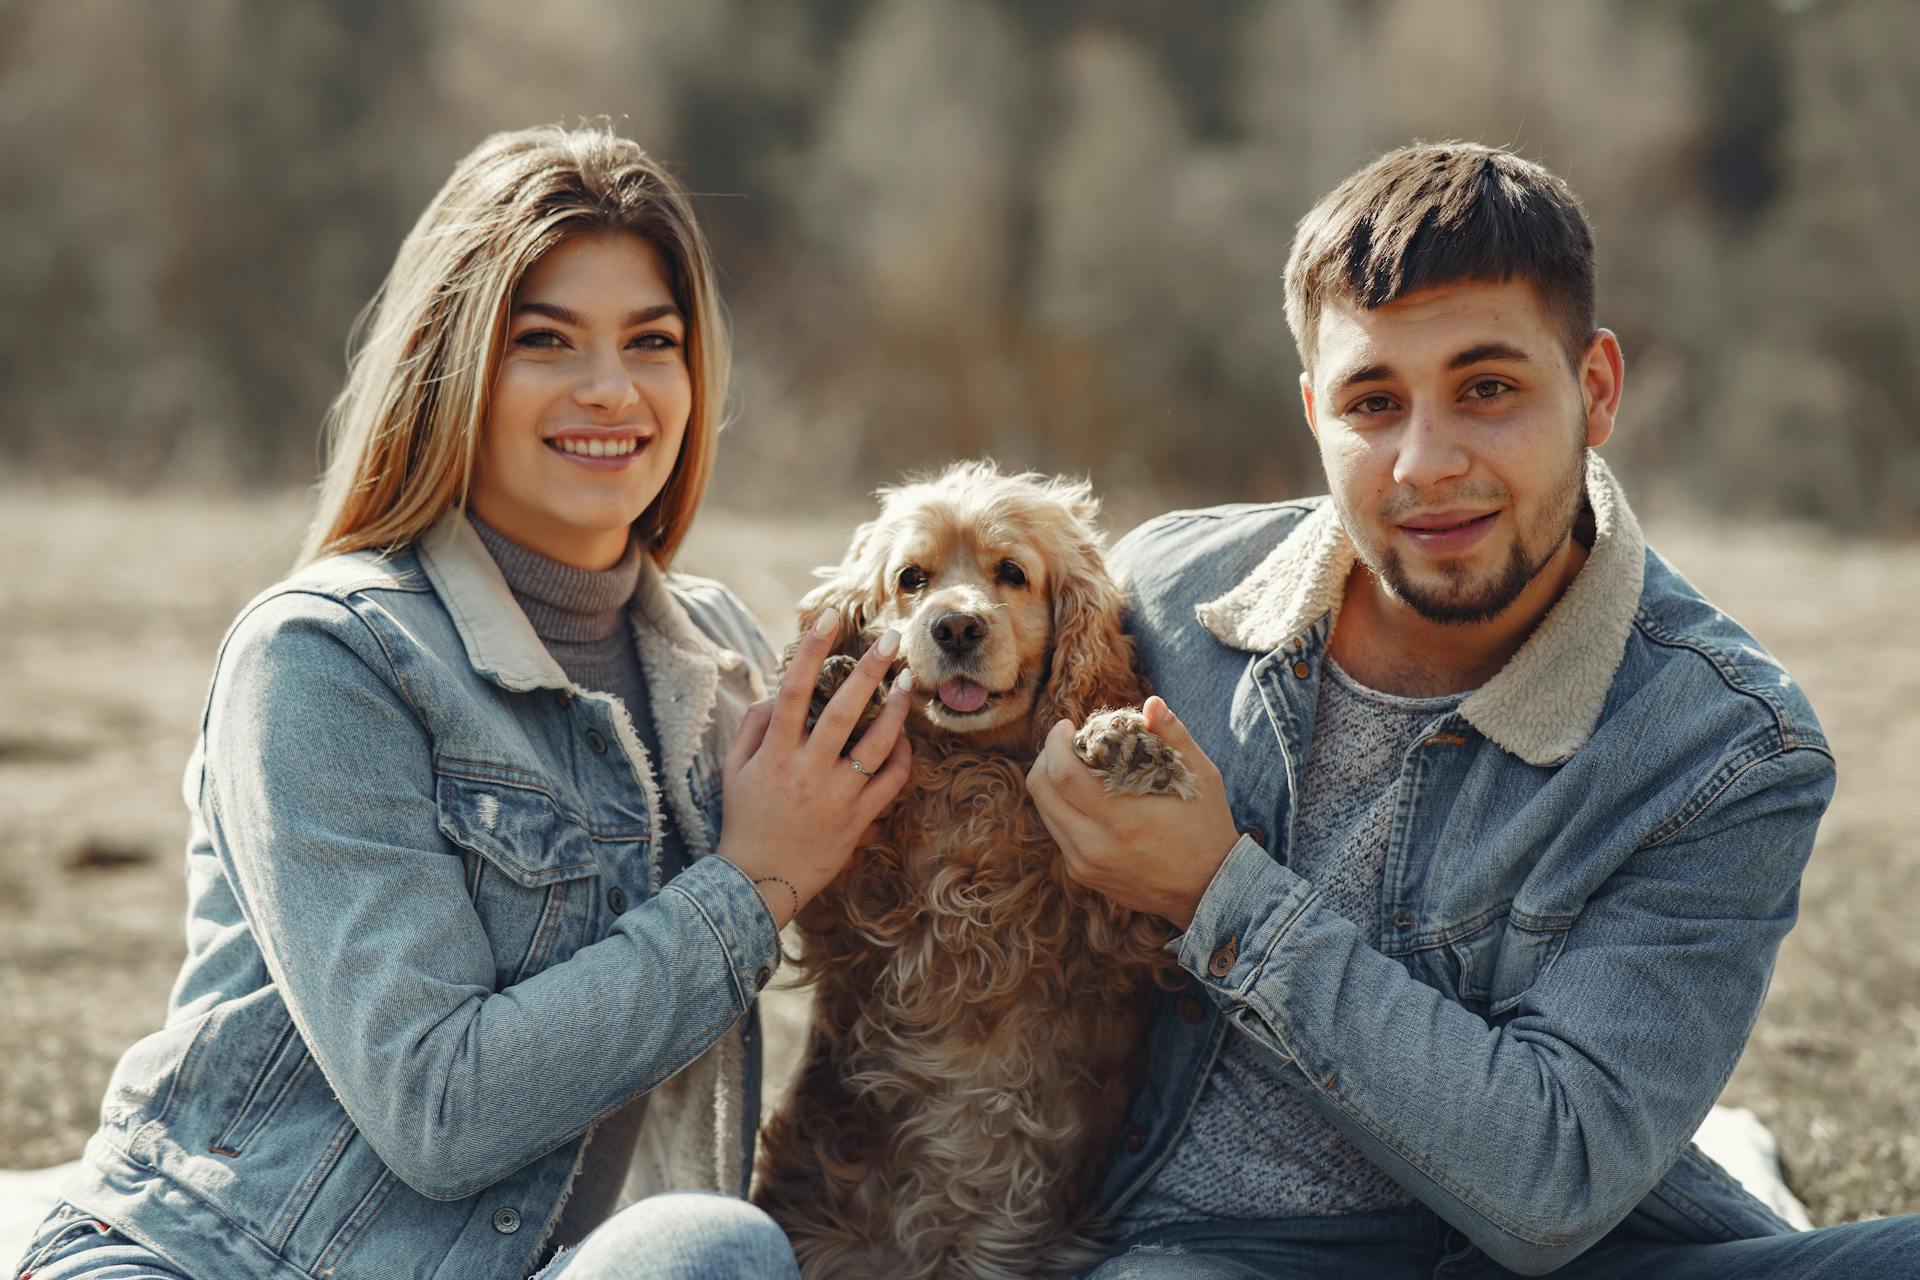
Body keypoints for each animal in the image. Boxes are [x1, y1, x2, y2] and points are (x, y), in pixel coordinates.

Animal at [756, 466, 1190, 1280]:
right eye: (911, 580)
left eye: (1012, 574)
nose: (956, 627)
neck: (973, 770)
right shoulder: (846, 921)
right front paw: (836, 698)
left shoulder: (1123, 941)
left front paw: (1122, 739)